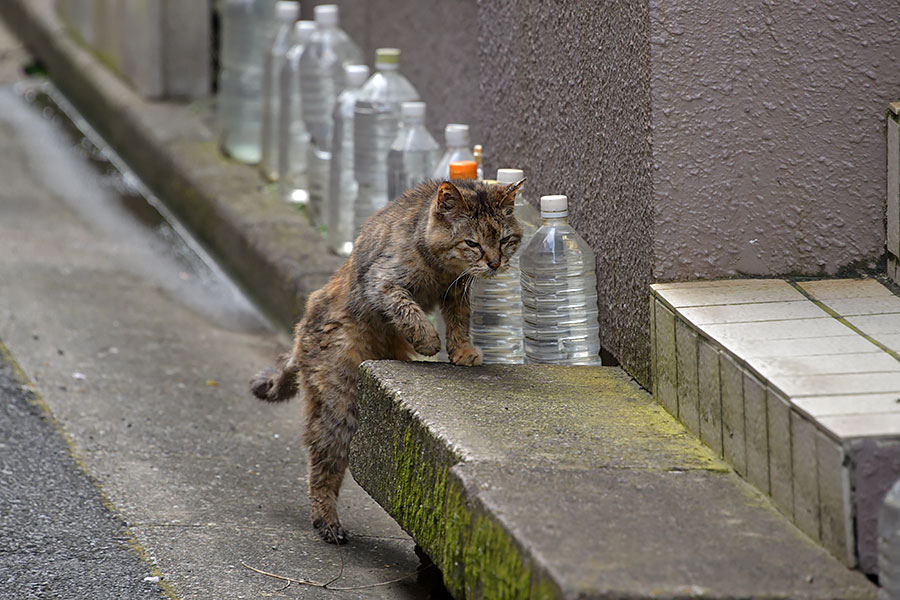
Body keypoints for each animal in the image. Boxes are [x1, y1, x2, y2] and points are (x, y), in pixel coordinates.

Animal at [250, 177, 524, 544]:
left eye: (505, 240)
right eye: (473, 243)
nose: (495, 263)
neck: (442, 269)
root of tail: (299, 332)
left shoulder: (457, 290)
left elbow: (459, 320)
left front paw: (463, 351)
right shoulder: (383, 283)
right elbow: (409, 312)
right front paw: (429, 342)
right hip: (340, 409)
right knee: (321, 468)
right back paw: (327, 521)